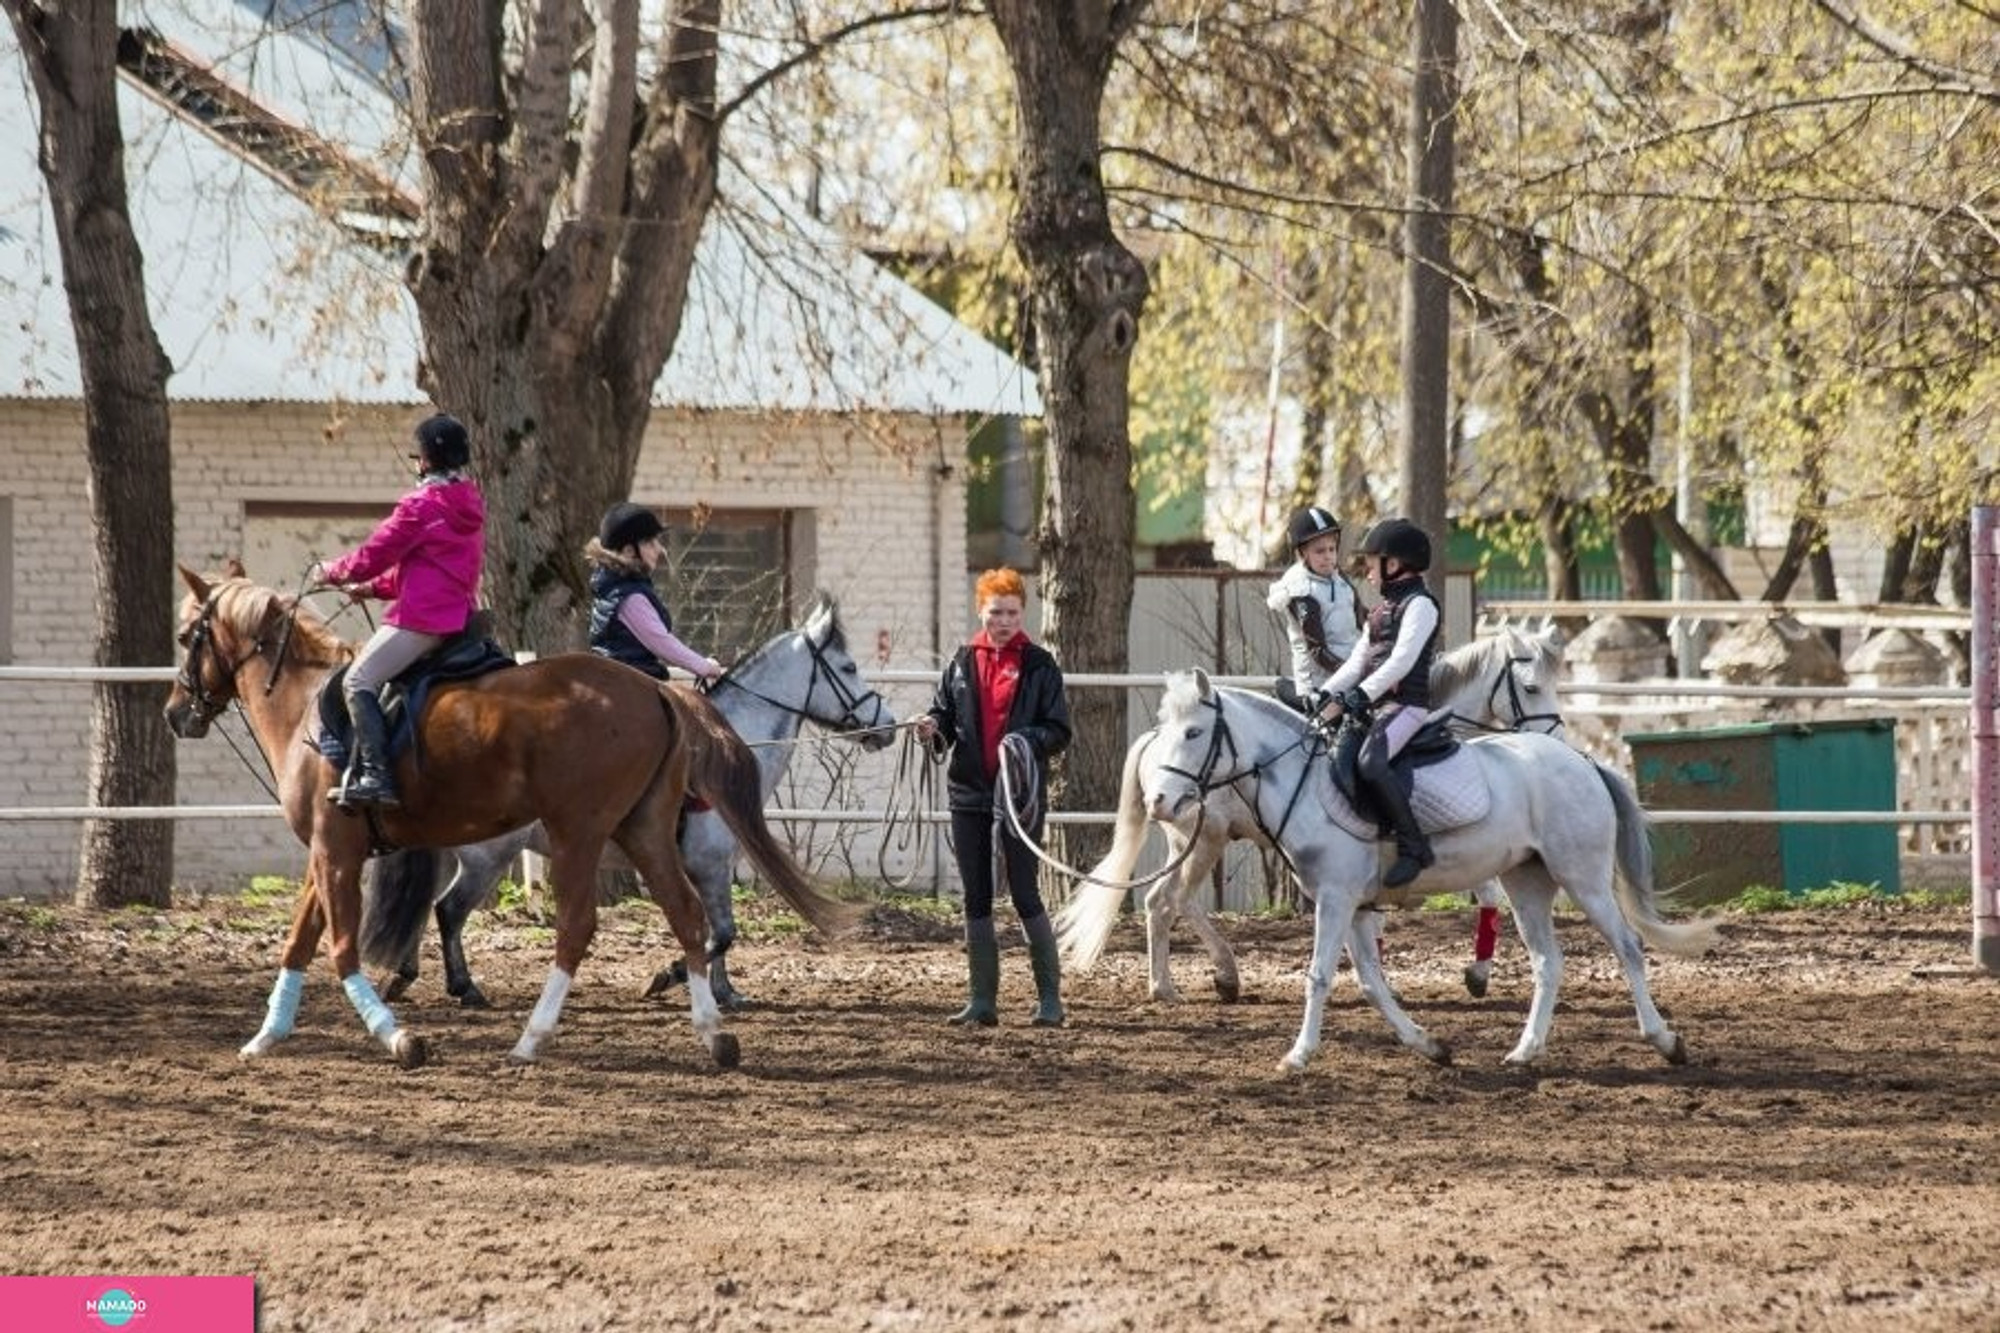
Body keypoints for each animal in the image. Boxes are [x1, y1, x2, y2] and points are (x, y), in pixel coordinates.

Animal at [168, 560, 856, 1072]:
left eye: (184, 638)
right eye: (848, 667)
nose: (178, 712)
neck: (307, 705)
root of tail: (657, 692)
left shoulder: (333, 850)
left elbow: (337, 949)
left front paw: (395, 1037)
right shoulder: (326, 848)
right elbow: (303, 942)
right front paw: (269, 1035)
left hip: (579, 836)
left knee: (570, 926)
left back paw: (531, 1035)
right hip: (620, 834)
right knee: (661, 917)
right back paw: (701, 1034)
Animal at [1056, 624, 1568, 996]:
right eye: (1531, 687)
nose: (1557, 739)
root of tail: (1151, 741)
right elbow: (1487, 893)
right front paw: (1476, 973)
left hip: (1191, 839)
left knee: (1163, 901)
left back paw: (1192, 979)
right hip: (1204, 839)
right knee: (1169, 901)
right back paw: (1195, 979)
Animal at [1072, 664, 1712, 1072]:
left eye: (1195, 731)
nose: (1159, 800)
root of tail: (1582, 759)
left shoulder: (1335, 898)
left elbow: (1320, 976)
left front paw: (1297, 1056)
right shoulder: (1354, 906)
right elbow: (1372, 983)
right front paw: (1428, 1046)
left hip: (1581, 878)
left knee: (1627, 947)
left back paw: (1665, 1041)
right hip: (1527, 881)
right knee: (1547, 963)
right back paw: (1526, 1051)